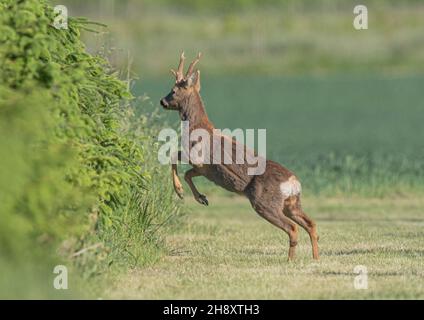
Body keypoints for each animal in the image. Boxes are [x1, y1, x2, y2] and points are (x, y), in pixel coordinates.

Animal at [161, 52, 320, 260]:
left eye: (173, 90)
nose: (162, 101)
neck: (197, 127)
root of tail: (293, 183)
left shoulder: (198, 159)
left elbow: (174, 157)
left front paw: (181, 192)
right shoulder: (205, 170)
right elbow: (187, 172)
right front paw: (202, 198)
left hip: (264, 202)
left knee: (293, 229)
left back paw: (290, 260)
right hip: (291, 204)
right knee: (311, 224)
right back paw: (315, 258)